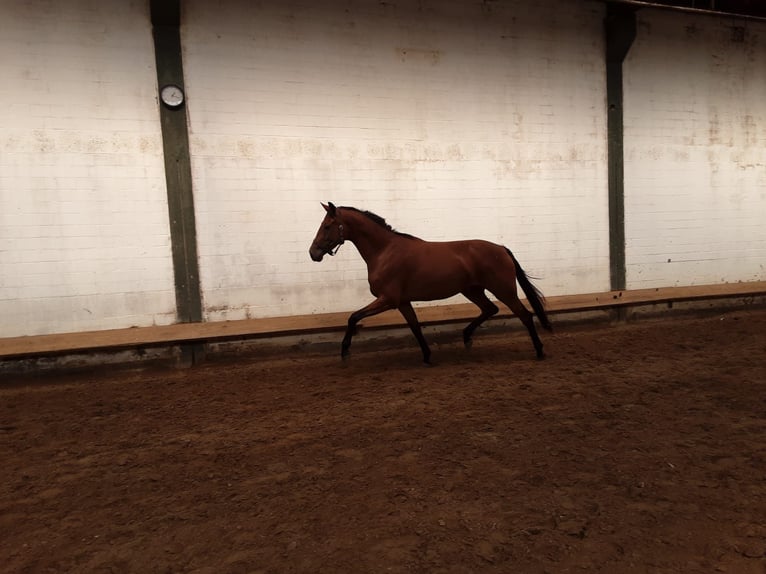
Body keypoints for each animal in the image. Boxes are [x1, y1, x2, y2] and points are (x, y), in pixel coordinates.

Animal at [308, 204, 556, 364]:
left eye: (327, 226)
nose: (313, 253)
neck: (385, 251)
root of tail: (501, 248)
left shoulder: (388, 300)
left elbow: (353, 317)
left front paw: (345, 351)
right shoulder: (402, 302)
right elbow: (415, 327)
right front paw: (427, 356)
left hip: (504, 290)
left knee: (525, 315)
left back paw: (540, 351)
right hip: (472, 290)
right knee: (490, 309)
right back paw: (466, 337)